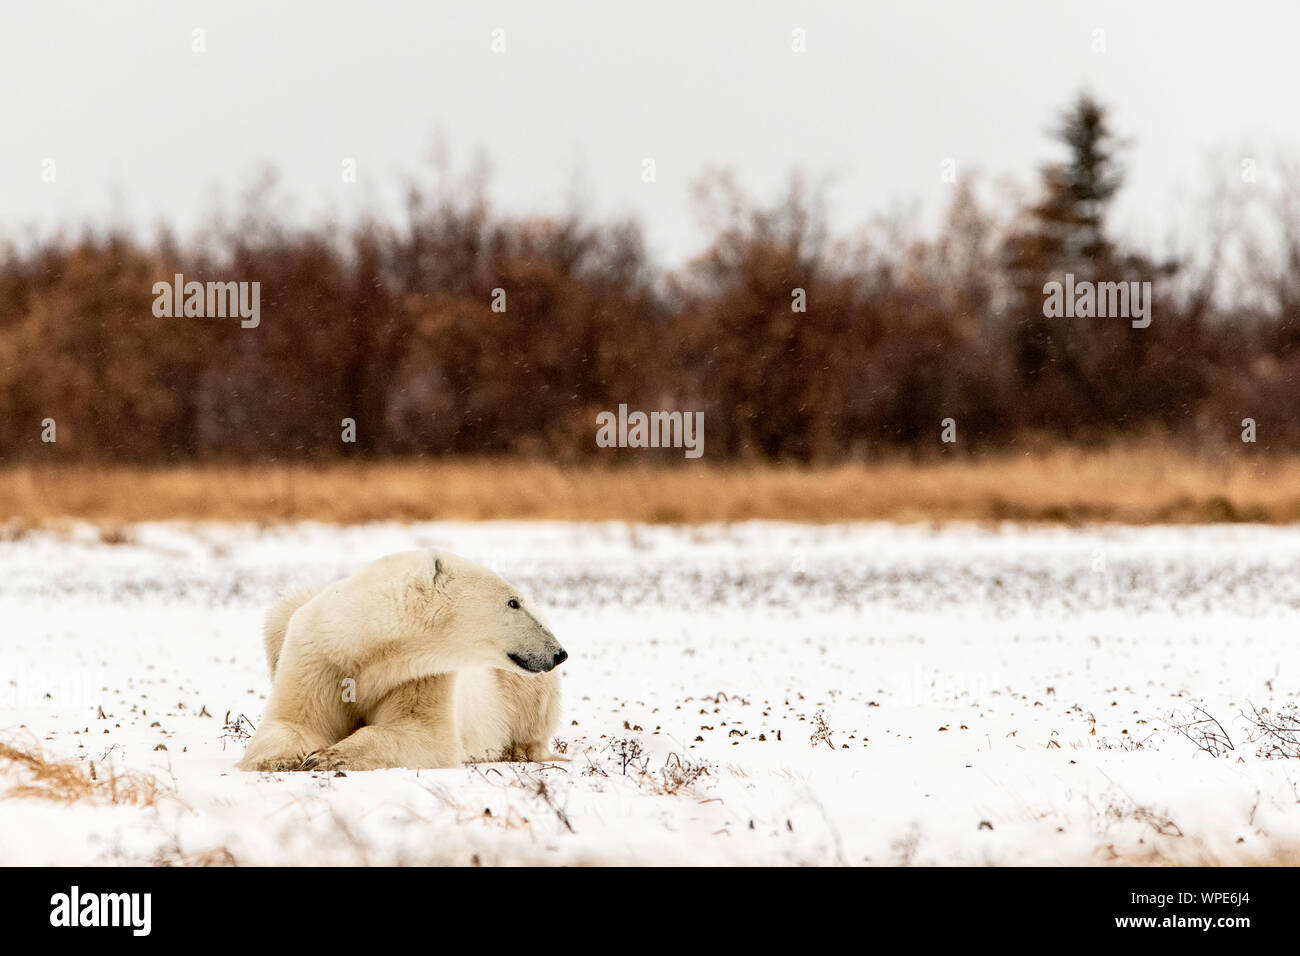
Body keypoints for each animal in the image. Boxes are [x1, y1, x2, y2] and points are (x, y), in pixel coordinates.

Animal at [236, 548, 566, 775]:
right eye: (513, 602)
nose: (559, 652)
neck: (360, 646)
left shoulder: (417, 676)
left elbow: (419, 730)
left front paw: (328, 756)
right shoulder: (316, 658)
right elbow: (293, 720)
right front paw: (281, 759)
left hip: (517, 687)